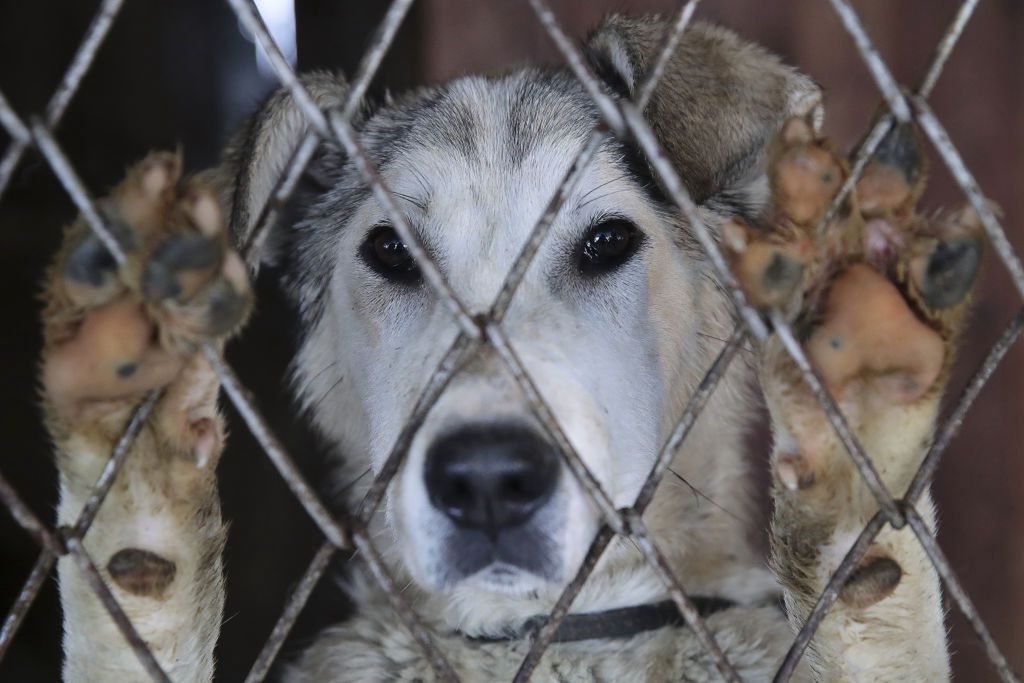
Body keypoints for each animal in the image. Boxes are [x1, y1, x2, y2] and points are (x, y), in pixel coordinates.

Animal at [41, 15, 983, 683]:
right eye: (391, 251)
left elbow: (877, 583)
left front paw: (862, 430)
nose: (487, 479)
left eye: (606, 242)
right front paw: (135, 476)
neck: (546, 634)